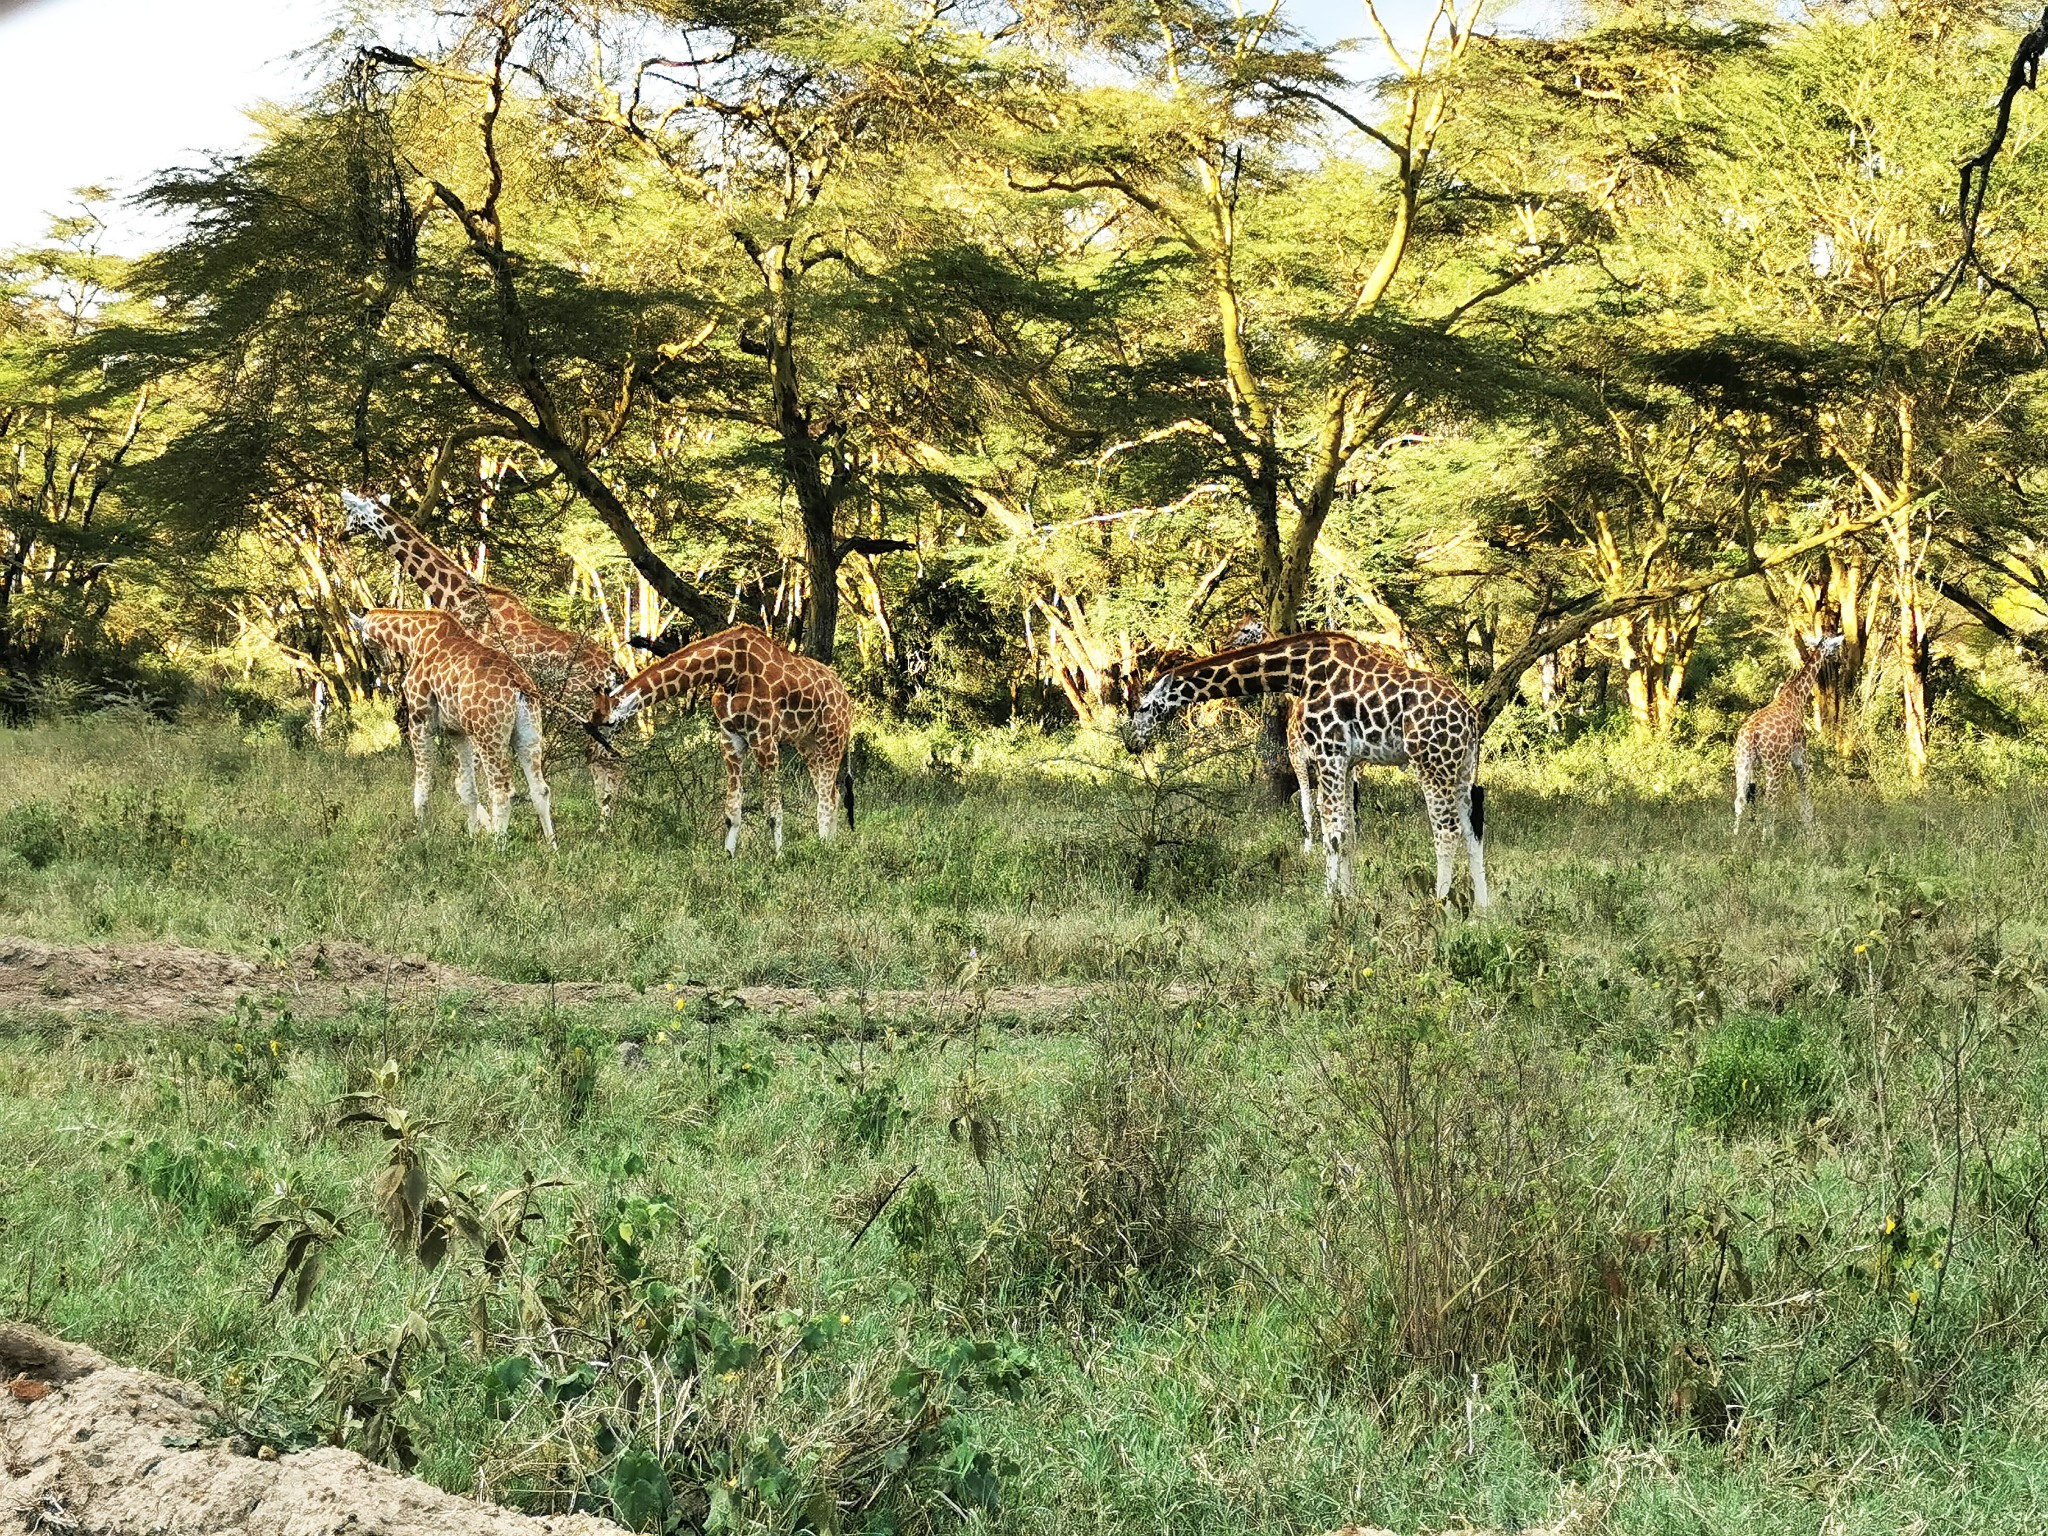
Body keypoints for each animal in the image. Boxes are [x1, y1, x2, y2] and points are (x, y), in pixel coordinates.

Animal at [350, 606, 557, 847]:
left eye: (365, 642)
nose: (384, 668)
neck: (414, 638)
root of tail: (519, 684)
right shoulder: (457, 732)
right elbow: (467, 788)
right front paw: (472, 837)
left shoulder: (420, 721)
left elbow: (423, 788)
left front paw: (420, 833)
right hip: (528, 732)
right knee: (540, 789)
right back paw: (551, 846)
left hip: (488, 736)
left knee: (503, 791)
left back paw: (498, 847)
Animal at [589, 626, 851, 868]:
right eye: (591, 720)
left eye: (609, 723)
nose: (595, 751)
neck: (729, 669)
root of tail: (846, 697)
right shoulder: (730, 737)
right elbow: (732, 809)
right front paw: (728, 857)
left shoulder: (764, 737)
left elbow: (773, 810)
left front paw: (778, 858)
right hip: (807, 743)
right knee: (833, 794)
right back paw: (830, 845)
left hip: (831, 738)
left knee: (826, 799)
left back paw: (823, 850)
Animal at [1122, 630, 1490, 909]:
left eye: (1143, 707)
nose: (1132, 743)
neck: (1296, 673)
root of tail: (1470, 715)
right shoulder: (1347, 761)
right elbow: (1349, 832)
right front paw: (1349, 896)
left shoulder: (1329, 752)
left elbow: (1334, 833)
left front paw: (1330, 900)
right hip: (1462, 767)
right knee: (1472, 828)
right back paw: (1482, 909)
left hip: (1432, 761)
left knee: (1447, 829)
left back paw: (1439, 905)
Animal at [1736, 630, 1851, 835]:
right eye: (1836, 645)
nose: (1838, 659)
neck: (1796, 696)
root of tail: (1751, 734)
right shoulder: (1800, 756)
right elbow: (1805, 789)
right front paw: (1810, 828)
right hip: (1775, 764)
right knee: (1770, 800)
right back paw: (1768, 839)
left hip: (1742, 761)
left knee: (1739, 800)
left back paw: (1735, 839)